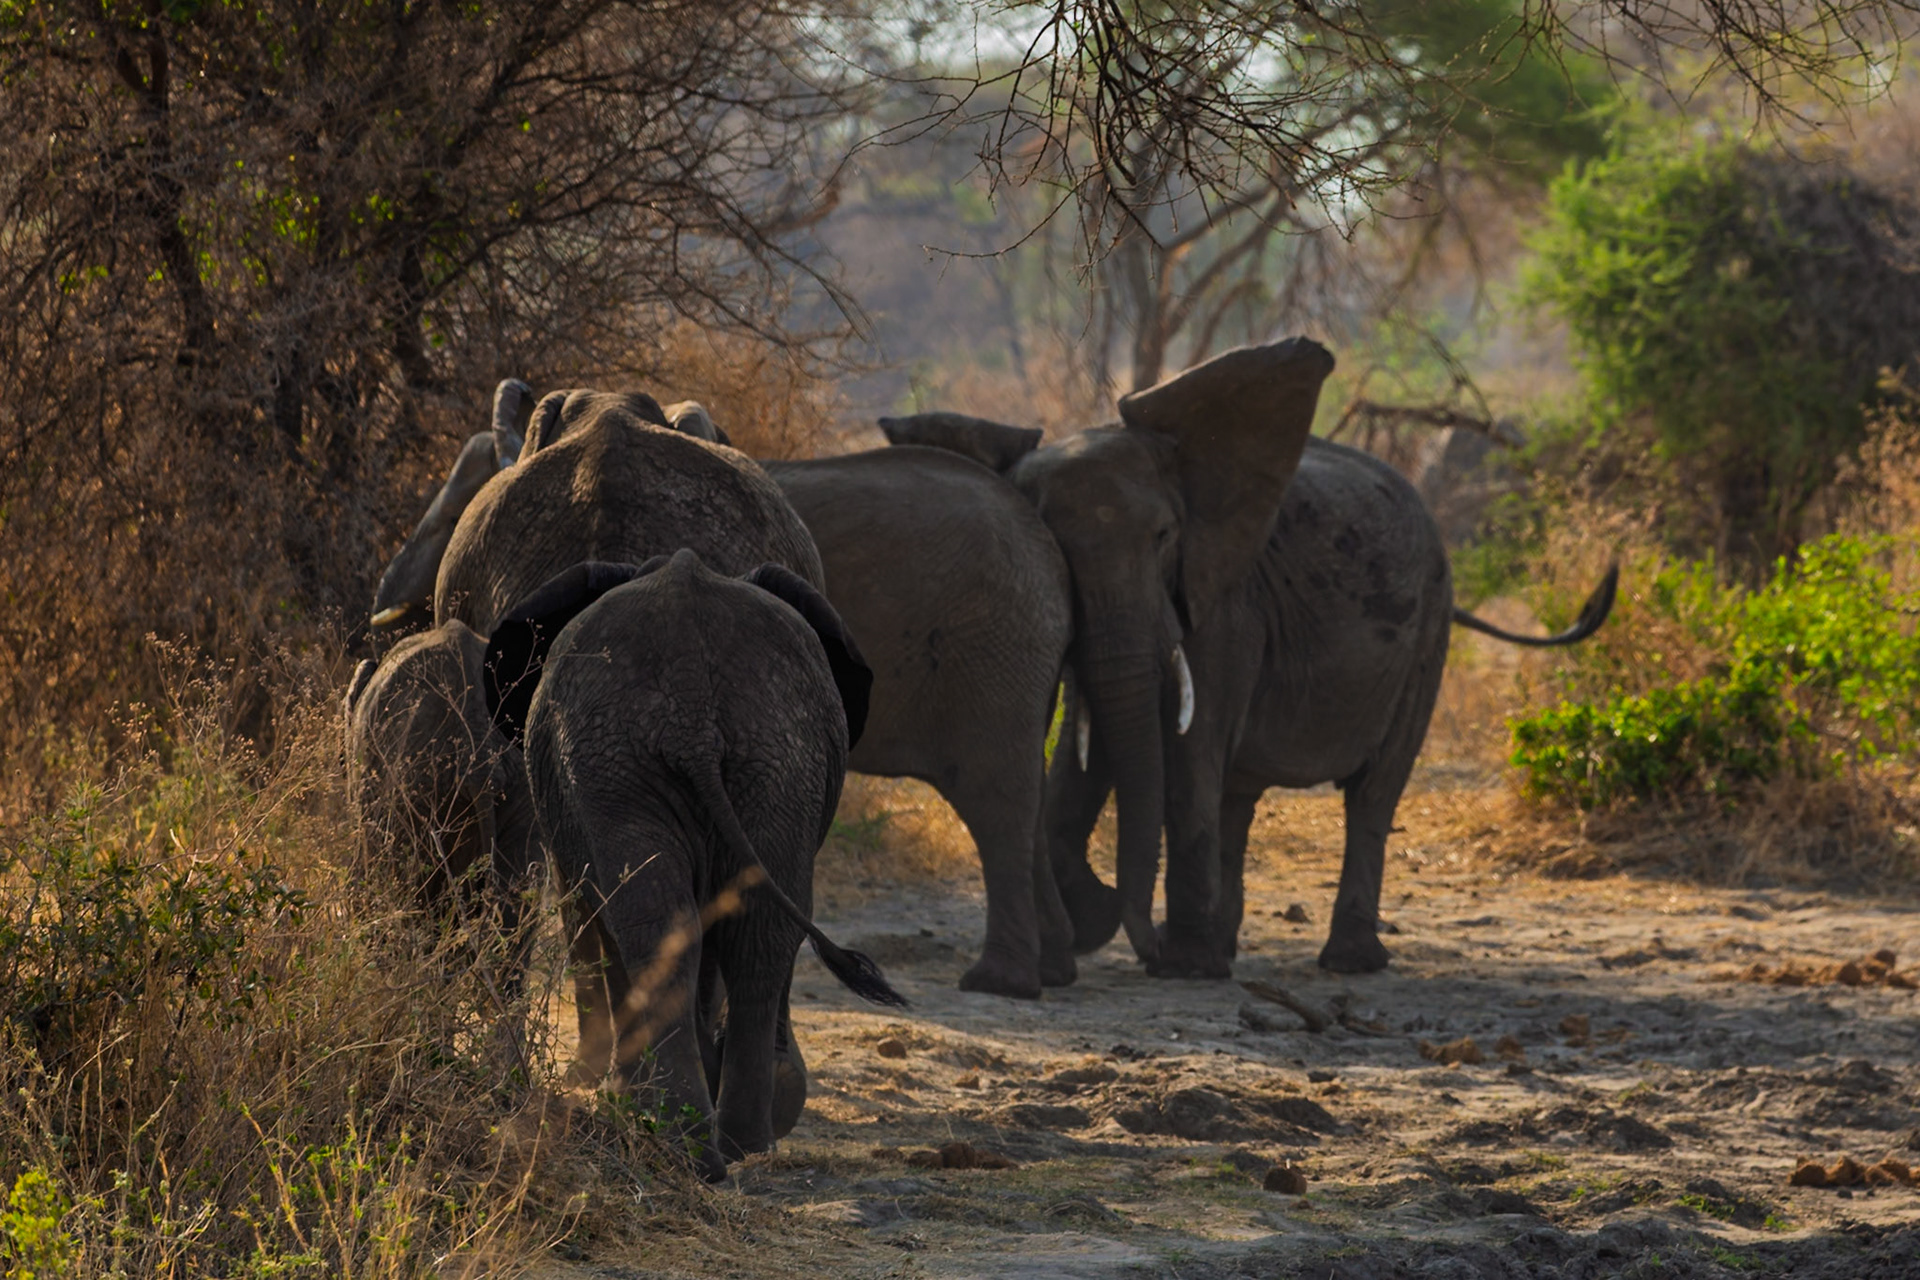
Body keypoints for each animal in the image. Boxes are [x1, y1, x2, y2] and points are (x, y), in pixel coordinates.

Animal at [483, 552, 904, 1179]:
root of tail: (692, 704)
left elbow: (590, 913)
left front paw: (625, 1095)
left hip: (637, 763)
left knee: (668, 924)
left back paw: (692, 1143)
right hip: (765, 759)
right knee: (750, 930)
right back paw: (731, 1145)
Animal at [880, 337, 1616, 980]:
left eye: (1164, 536)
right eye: (1047, 541)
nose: (1136, 940)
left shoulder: (1223, 603)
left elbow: (1183, 755)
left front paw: (1181, 966)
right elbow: (1094, 751)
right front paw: (1111, 928)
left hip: (1428, 628)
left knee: (1372, 791)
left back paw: (1340, 961)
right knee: (1237, 793)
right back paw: (1224, 944)